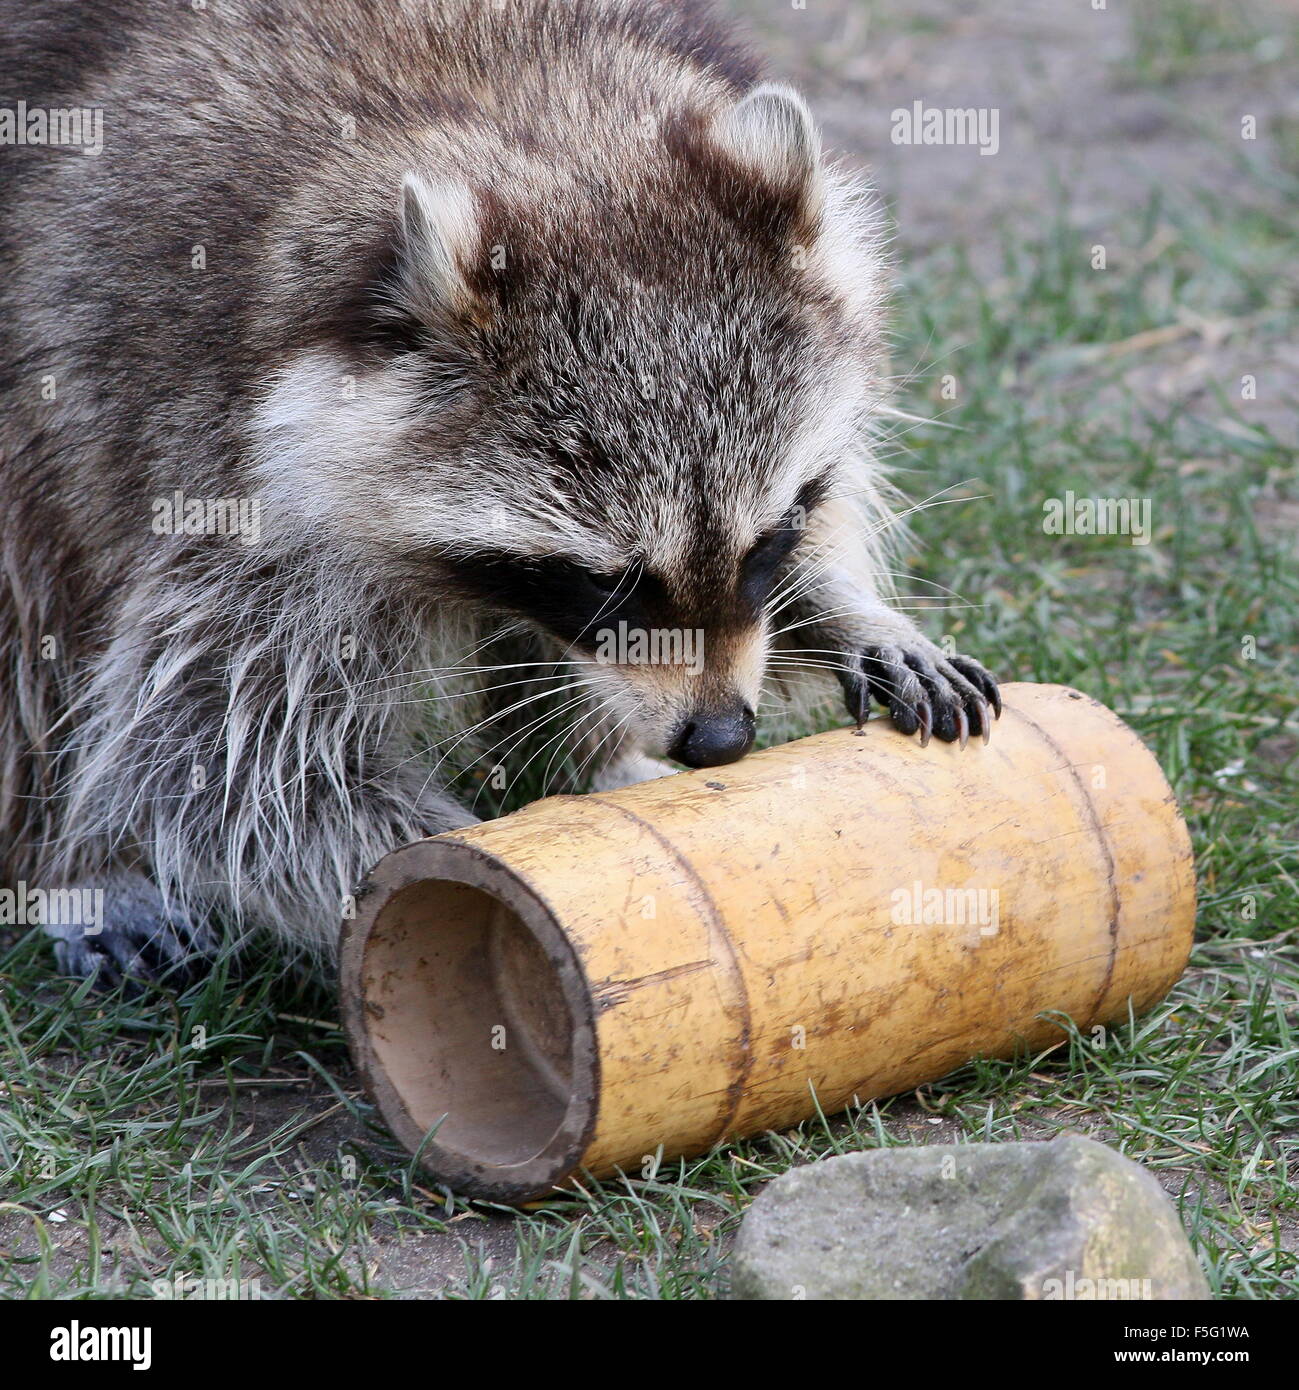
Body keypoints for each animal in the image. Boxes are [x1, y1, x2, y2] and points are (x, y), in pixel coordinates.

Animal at [0, 0, 1005, 984]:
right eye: (603, 582)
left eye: (767, 539)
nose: (718, 742)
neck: (521, 115)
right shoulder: (230, 468)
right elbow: (226, 767)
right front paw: (478, 874)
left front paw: (844, 611)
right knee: (34, 603)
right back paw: (72, 862)